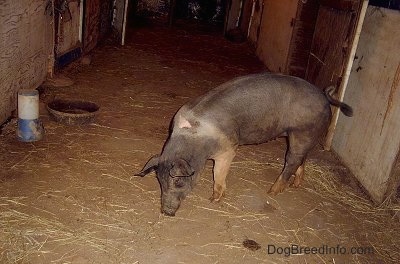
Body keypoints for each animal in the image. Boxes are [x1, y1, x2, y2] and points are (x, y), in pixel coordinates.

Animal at [135, 73, 354, 216]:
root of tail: (323, 96)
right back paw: (295, 185)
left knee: (292, 160)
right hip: (303, 135)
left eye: (179, 182)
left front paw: (213, 199)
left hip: (303, 131)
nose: (166, 212)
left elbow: (218, 174)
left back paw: (271, 191)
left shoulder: (228, 148)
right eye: (160, 181)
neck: (195, 141)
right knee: (302, 158)